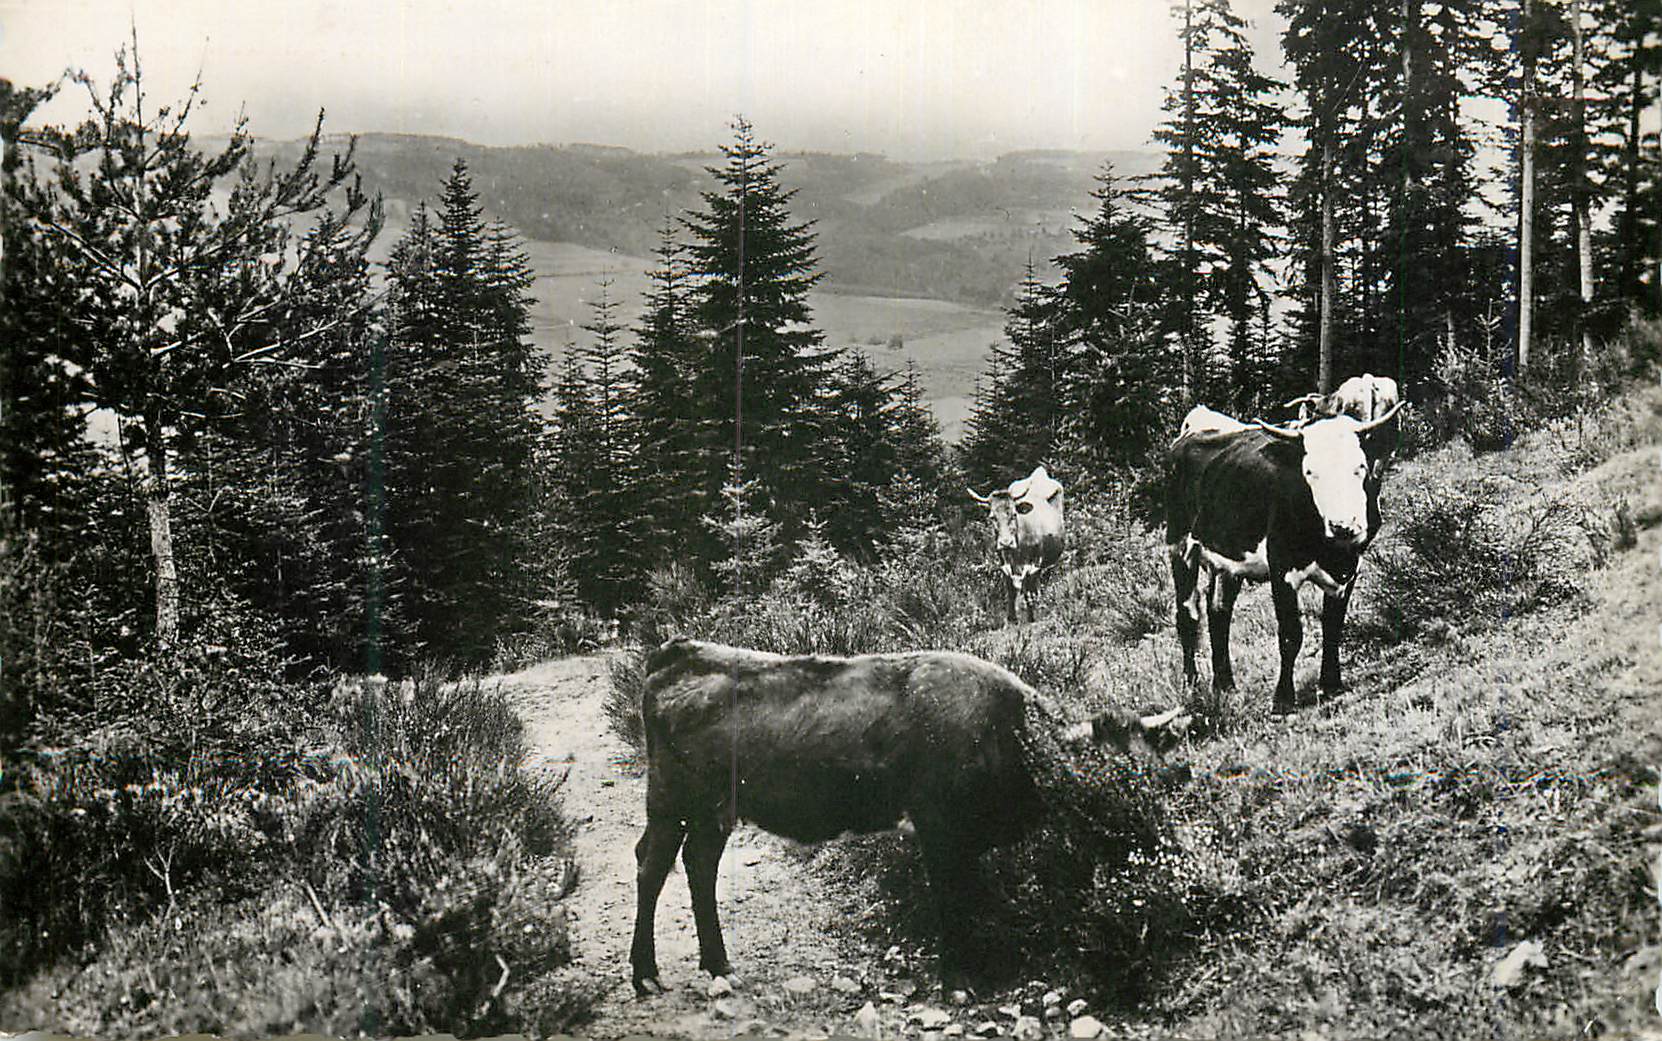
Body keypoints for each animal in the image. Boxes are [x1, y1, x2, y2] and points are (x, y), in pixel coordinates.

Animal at [630, 637, 1190, 994]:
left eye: (1161, 768)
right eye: (1112, 770)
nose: (1157, 843)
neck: (1006, 732)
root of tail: (678, 654)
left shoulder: (968, 841)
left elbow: (973, 897)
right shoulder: (938, 830)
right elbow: (951, 901)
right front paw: (958, 980)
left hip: (714, 813)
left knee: (698, 866)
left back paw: (719, 966)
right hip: (671, 803)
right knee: (652, 867)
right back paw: (647, 974)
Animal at [968, 466, 1065, 623]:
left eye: (1014, 514)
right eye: (992, 517)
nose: (1006, 542)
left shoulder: (1034, 562)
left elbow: (1028, 589)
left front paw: (1031, 616)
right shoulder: (1004, 562)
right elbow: (1011, 589)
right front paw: (1011, 618)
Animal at [1165, 404, 1403, 715]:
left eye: (1359, 467)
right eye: (1310, 472)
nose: (1342, 526)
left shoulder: (1349, 568)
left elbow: (1333, 625)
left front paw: (1331, 685)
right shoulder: (1282, 567)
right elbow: (1291, 634)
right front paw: (1283, 699)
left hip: (1228, 561)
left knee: (1218, 612)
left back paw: (1225, 685)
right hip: (1179, 545)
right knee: (1187, 615)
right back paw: (1192, 686)